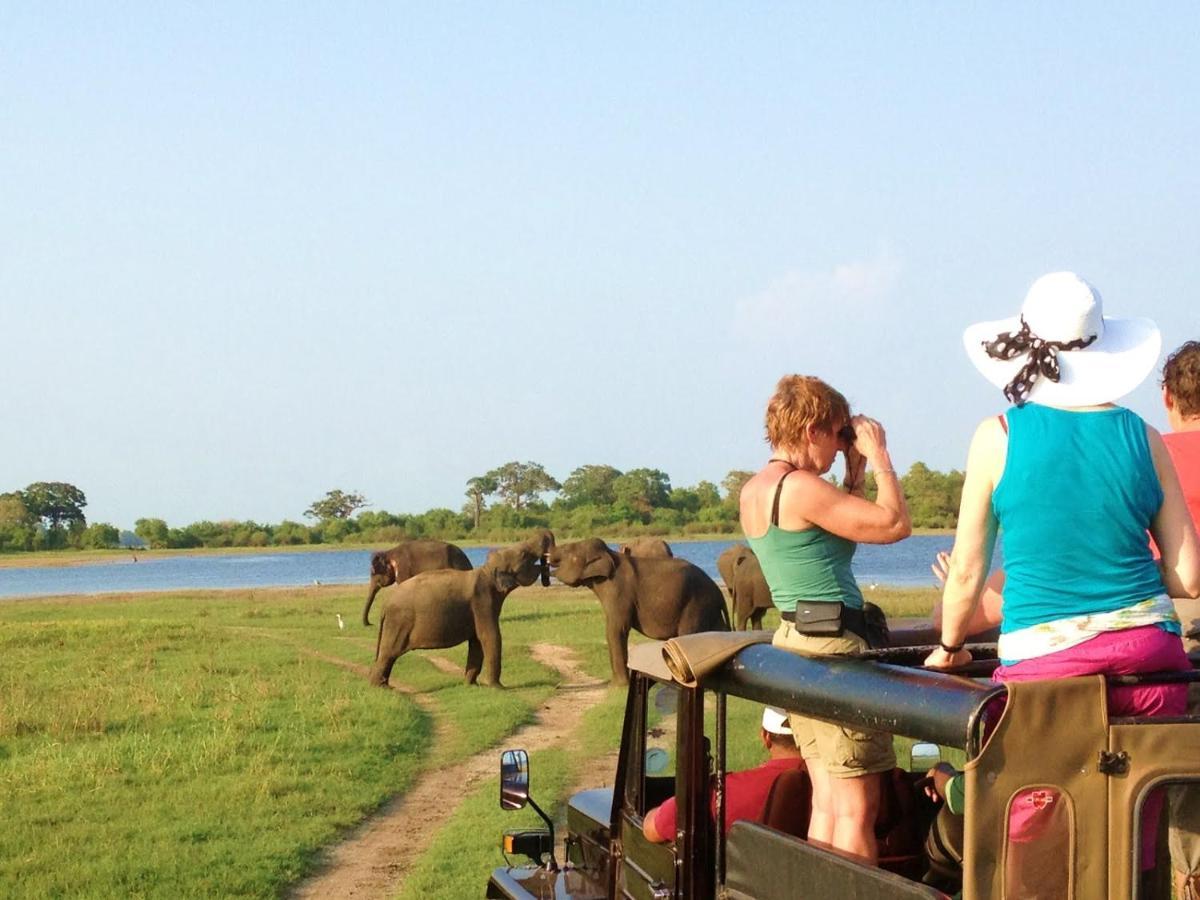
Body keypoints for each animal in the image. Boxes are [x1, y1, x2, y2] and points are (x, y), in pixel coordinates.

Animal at [364, 535, 552, 691]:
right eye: (525, 555)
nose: (547, 578)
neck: (486, 570)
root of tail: (385, 605)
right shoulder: (482, 602)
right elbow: (490, 637)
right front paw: (498, 688)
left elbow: (477, 641)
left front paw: (471, 684)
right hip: (398, 622)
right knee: (389, 653)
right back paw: (381, 688)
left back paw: (383, 685)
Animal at [547, 540, 729, 686]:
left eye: (567, 549)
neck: (609, 554)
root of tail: (719, 593)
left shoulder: (619, 591)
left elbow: (616, 630)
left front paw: (619, 687)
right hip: (708, 608)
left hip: (696, 604)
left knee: (689, 633)